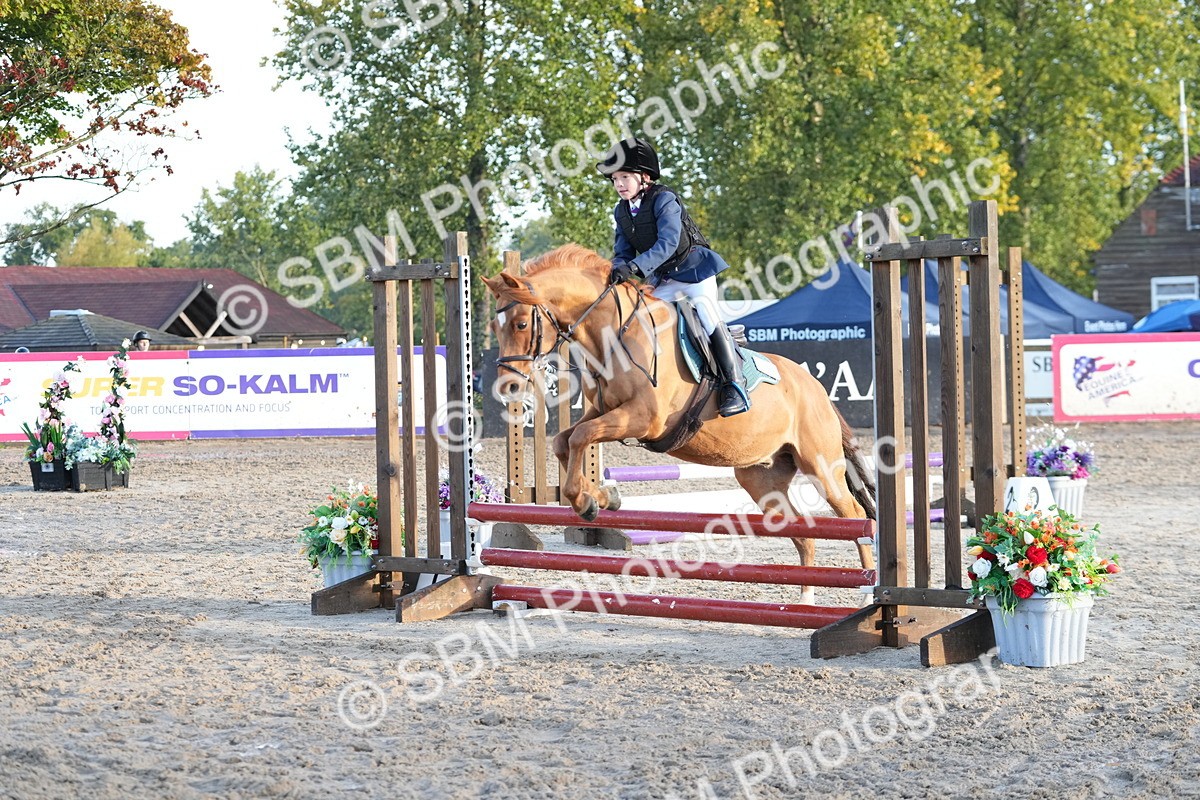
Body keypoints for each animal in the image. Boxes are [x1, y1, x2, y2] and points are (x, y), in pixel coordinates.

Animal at [482, 244, 877, 595]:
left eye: (521, 323)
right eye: (494, 326)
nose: (508, 387)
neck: (613, 334)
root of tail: (816, 388)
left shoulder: (643, 419)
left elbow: (581, 437)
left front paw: (589, 500)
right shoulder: (604, 411)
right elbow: (565, 439)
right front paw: (599, 497)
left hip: (821, 466)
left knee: (856, 515)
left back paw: (867, 592)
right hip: (761, 477)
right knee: (802, 533)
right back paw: (805, 599)